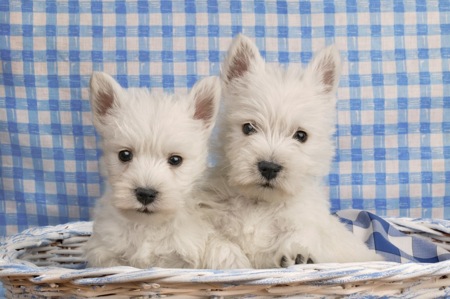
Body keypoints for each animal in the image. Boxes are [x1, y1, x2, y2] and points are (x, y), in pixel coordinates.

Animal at [197, 35, 384, 270]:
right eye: (248, 128)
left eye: (301, 135)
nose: (269, 167)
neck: (259, 203)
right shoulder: (207, 218)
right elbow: (217, 241)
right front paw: (234, 262)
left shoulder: (303, 220)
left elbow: (300, 235)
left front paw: (298, 254)